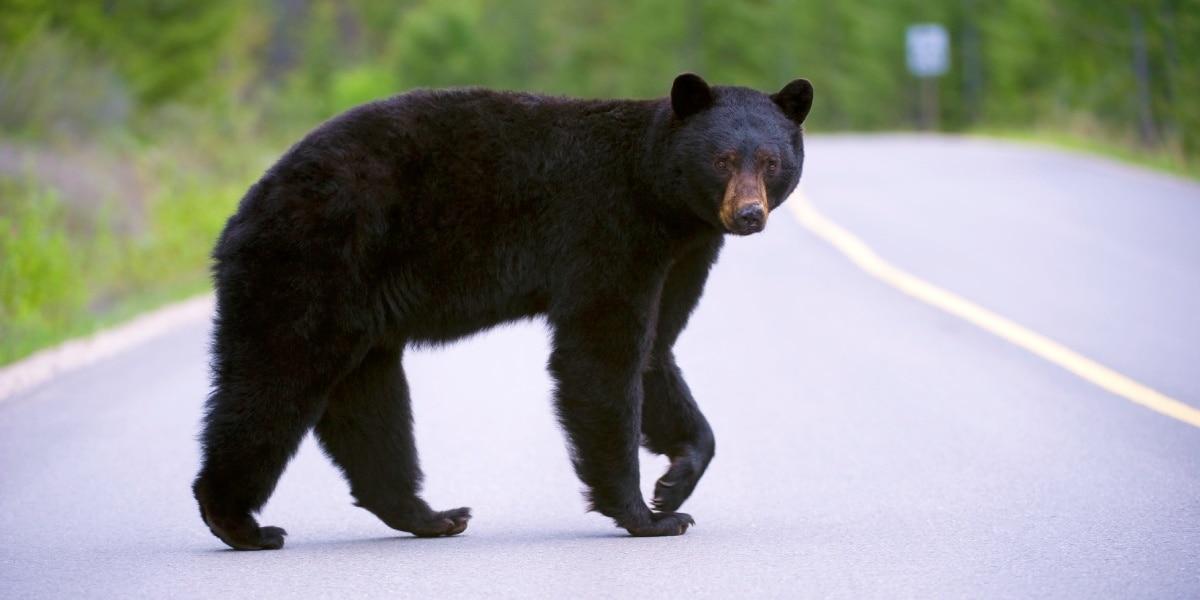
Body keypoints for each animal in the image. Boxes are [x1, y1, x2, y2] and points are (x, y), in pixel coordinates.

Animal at [194, 73, 816, 549]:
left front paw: (675, 484)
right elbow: (600, 356)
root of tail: (243, 211)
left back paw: (432, 516)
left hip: (360, 314)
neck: (661, 196)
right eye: (723, 159)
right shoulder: (607, 232)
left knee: (369, 406)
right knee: (272, 379)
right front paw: (646, 515)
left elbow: (654, 351)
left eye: (771, 160)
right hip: (312, 263)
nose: (748, 214)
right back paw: (241, 524)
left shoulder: (682, 256)